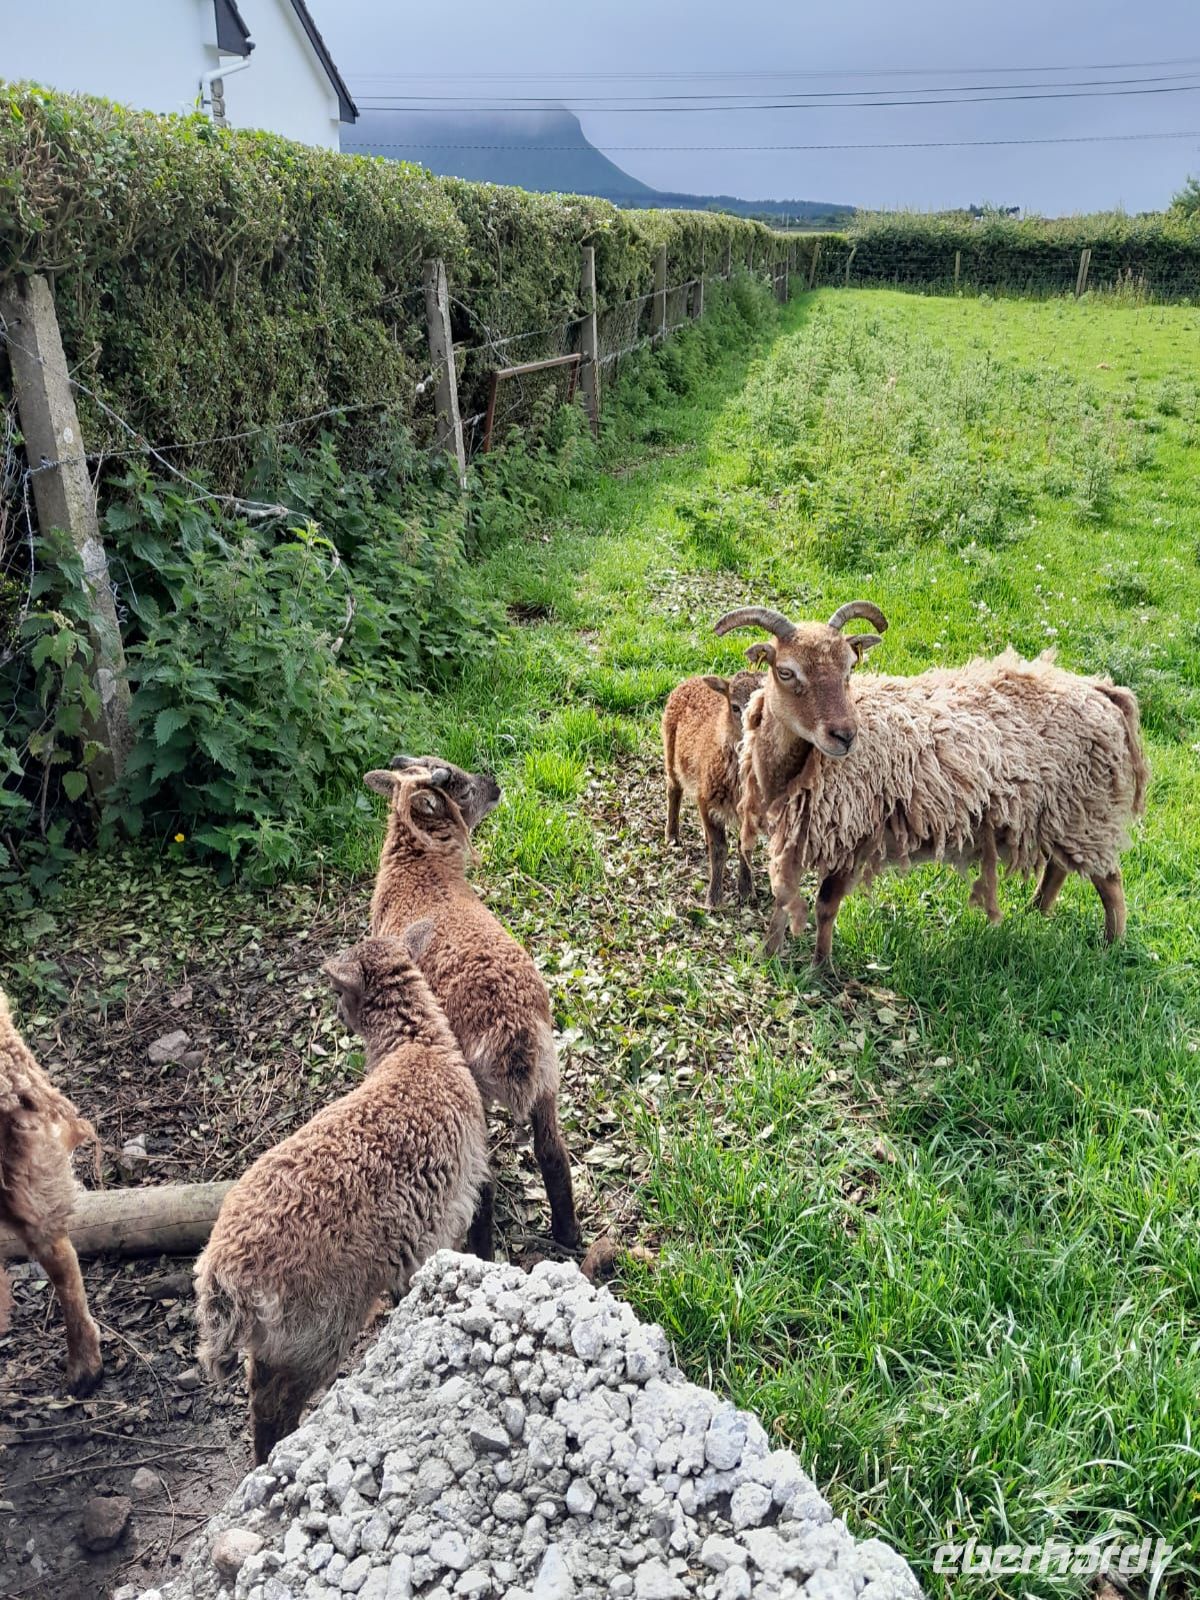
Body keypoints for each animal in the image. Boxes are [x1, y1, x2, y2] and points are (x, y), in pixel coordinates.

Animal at [194, 926, 489, 1464]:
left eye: (336, 991)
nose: (335, 1012)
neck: (417, 1047)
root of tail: (222, 1274)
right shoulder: (458, 1197)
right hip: (319, 1325)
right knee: (276, 1401)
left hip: (280, 1337)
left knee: (257, 1385)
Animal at [366, 763, 581, 1254]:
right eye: (461, 787)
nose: (496, 785)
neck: (419, 869)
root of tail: (511, 1030)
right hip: (548, 1074)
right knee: (553, 1156)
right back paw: (569, 1237)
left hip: (472, 1092)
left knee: (483, 1185)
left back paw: (482, 1250)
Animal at [662, 669, 761, 907]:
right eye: (735, 706)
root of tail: (692, 678)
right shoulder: (707, 801)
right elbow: (719, 850)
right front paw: (713, 898)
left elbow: (745, 847)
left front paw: (746, 890)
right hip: (670, 750)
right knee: (674, 790)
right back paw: (672, 835)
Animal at [716, 602, 1149, 964]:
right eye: (785, 672)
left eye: (849, 670)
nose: (845, 735)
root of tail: (1101, 690)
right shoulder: (796, 832)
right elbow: (782, 898)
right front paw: (766, 957)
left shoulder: (854, 833)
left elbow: (825, 906)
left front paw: (821, 968)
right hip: (1061, 813)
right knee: (1059, 868)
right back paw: (1035, 912)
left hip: (1085, 810)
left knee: (1110, 881)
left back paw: (1111, 946)